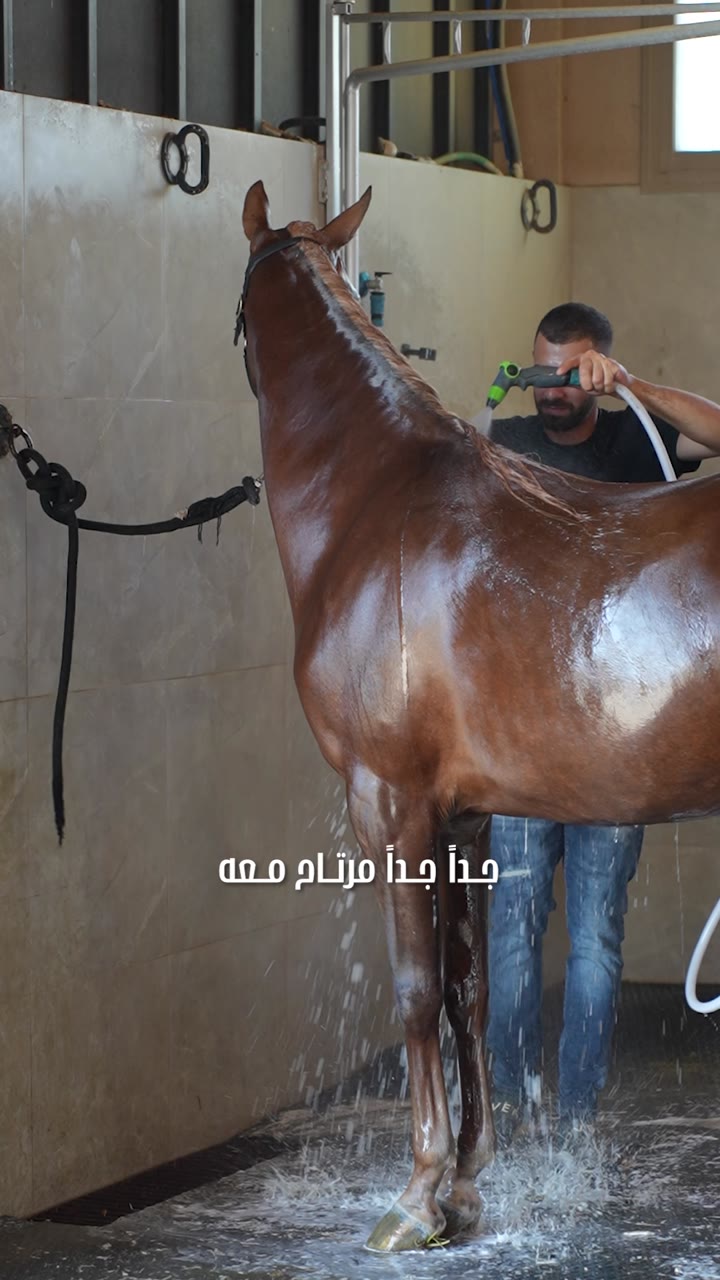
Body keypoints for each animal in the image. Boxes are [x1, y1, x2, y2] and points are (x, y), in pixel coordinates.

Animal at [239, 179, 720, 1252]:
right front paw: (462, 1187)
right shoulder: (463, 816)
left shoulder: (390, 806)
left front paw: (414, 1199)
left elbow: (417, 993)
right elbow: (470, 990)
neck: (375, 502)